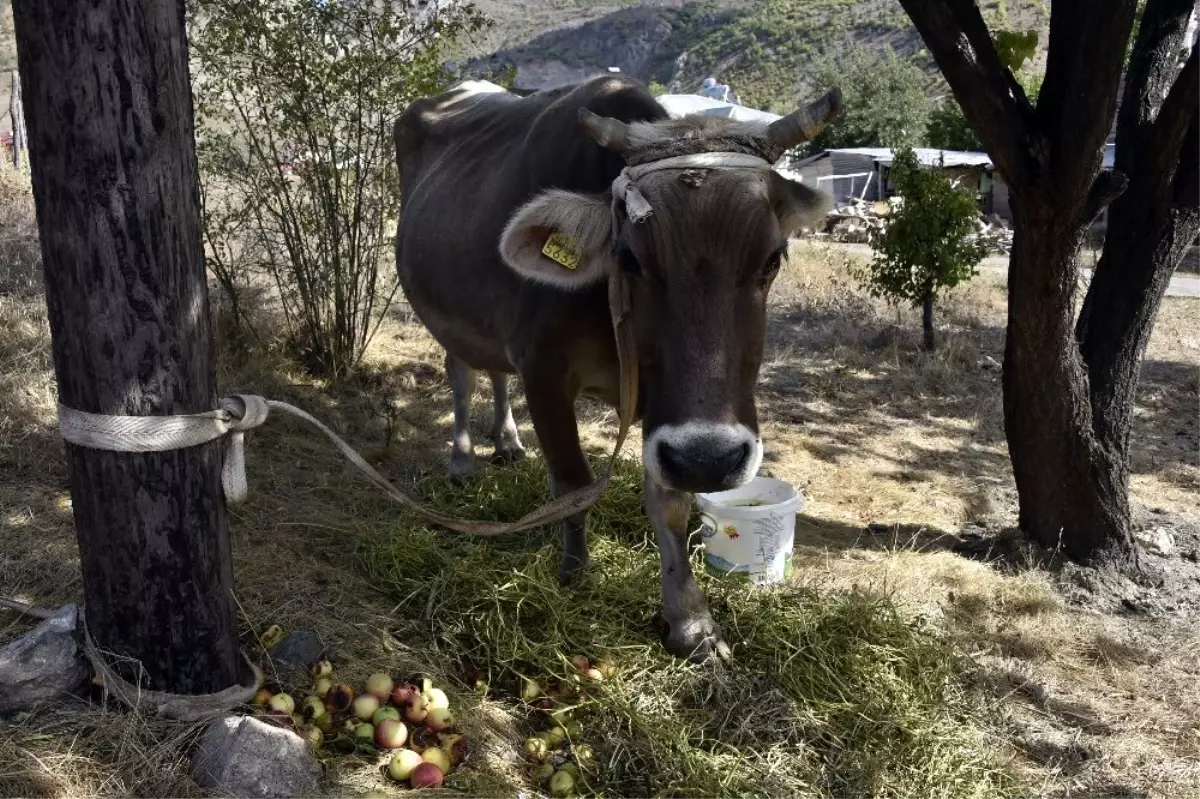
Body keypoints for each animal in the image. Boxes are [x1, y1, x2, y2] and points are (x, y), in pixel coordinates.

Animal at [393, 74, 835, 657]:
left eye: (772, 260)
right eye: (629, 258)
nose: (711, 460)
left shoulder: (663, 407)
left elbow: (670, 503)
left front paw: (690, 619)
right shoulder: (544, 372)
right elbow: (573, 486)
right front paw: (575, 575)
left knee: (494, 372)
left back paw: (508, 441)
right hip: (445, 313)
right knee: (463, 373)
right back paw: (463, 461)